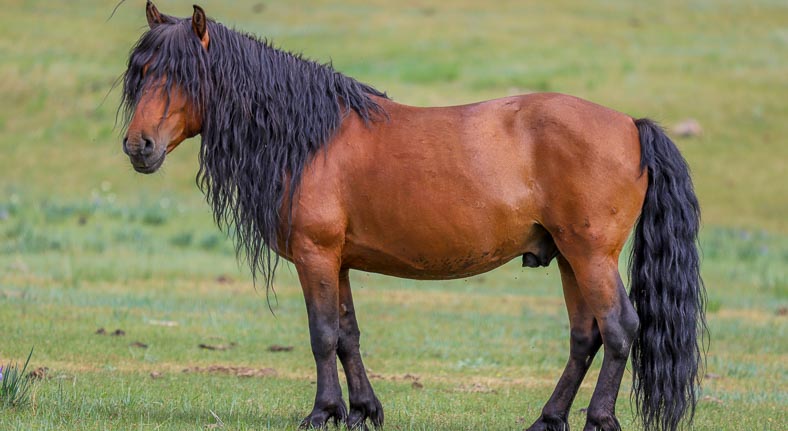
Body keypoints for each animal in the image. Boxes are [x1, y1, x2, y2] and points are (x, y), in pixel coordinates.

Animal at [123, 1, 708, 430]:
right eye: (140, 73)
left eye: (182, 75)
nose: (138, 146)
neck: (309, 139)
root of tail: (630, 125)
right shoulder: (338, 261)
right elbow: (348, 334)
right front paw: (362, 411)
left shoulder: (315, 256)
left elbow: (322, 334)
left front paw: (322, 412)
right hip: (569, 258)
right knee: (585, 337)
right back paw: (548, 418)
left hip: (590, 256)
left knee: (618, 328)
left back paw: (598, 418)